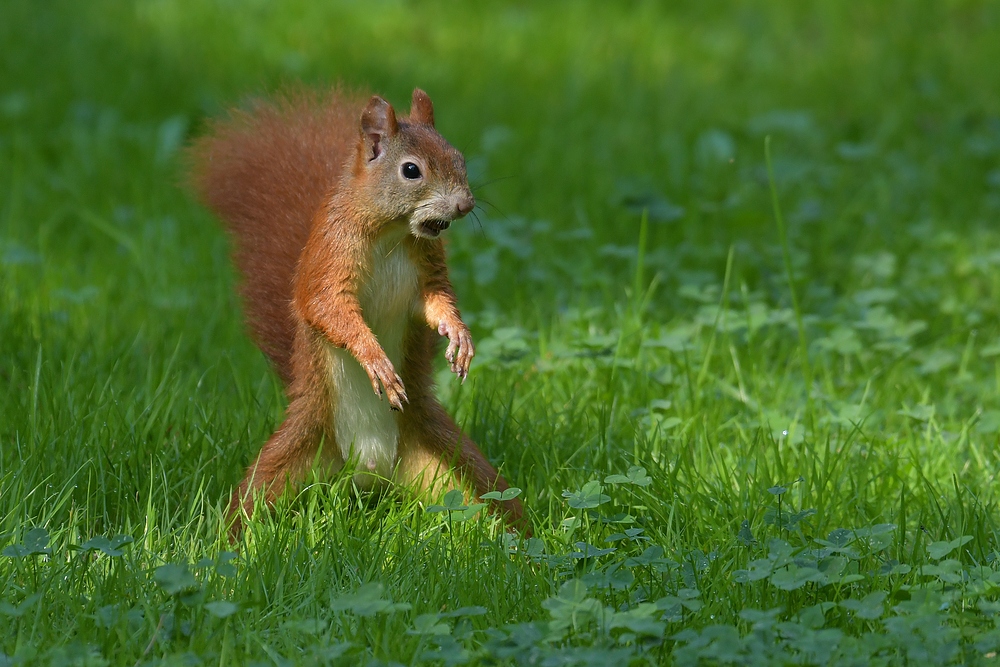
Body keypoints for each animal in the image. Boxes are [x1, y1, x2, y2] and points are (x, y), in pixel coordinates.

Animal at [190, 87, 528, 536]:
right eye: (411, 170)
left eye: (459, 158)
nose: (464, 204)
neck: (392, 233)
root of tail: (368, 470)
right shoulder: (330, 258)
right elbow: (328, 308)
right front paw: (374, 359)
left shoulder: (427, 270)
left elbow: (436, 301)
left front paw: (459, 334)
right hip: (291, 459)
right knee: (250, 505)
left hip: (457, 465)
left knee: (490, 504)